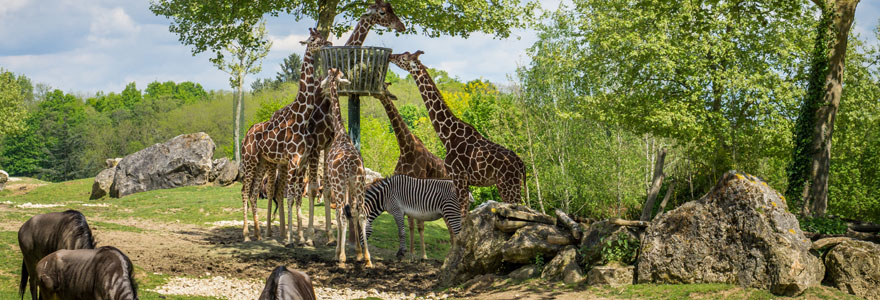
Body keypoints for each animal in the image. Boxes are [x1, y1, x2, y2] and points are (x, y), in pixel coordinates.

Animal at [241, 28, 330, 243]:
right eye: (313, 39)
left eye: (322, 36)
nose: (328, 43)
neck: (301, 118)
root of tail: (245, 135)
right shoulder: (292, 161)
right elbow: (290, 195)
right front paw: (290, 239)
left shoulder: (301, 162)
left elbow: (297, 195)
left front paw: (300, 238)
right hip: (249, 160)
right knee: (245, 191)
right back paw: (246, 234)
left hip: (262, 162)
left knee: (254, 191)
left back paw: (258, 234)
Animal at [304, 0, 408, 246]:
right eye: (382, 12)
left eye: (391, 8)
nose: (401, 26)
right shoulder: (316, 145)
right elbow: (314, 189)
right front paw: (312, 237)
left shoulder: (327, 144)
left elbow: (329, 190)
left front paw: (331, 236)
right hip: (306, 152)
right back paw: (299, 236)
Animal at [320, 69, 372, 268]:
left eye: (326, 77)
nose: (321, 86)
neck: (340, 132)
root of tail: (350, 165)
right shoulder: (351, 185)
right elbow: (354, 213)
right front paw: (358, 253)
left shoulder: (333, 183)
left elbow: (339, 215)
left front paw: (338, 253)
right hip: (359, 183)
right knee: (362, 213)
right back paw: (368, 258)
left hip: (340, 184)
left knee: (342, 214)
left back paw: (341, 258)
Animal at [374, 83, 450, 258]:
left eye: (385, 87)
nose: (375, 92)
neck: (406, 149)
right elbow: (410, 224)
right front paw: (411, 253)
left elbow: (420, 224)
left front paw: (423, 256)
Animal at [390, 51, 524, 216]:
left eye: (403, 58)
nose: (391, 56)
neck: (447, 136)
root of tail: (522, 164)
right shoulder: (463, 181)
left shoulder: (458, 177)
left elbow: (462, 215)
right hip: (512, 186)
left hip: (508, 186)